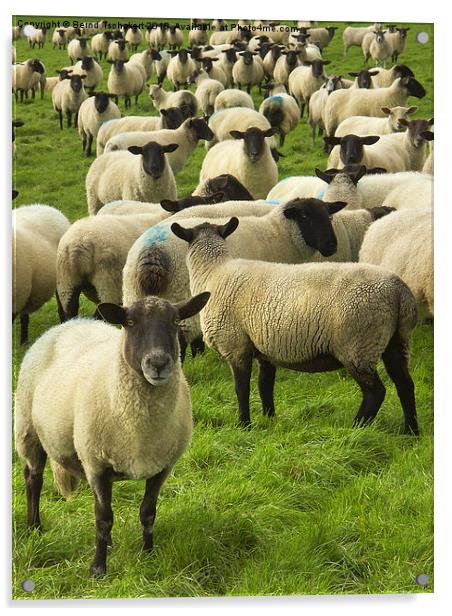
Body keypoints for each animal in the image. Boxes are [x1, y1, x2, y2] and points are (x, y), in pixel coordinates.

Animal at [15, 292, 209, 576]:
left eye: (175, 321)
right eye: (129, 322)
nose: (158, 363)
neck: (141, 430)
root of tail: (71, 322)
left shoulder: (162, 466)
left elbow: (147, 512)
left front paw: (147, 555)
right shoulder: (97, 465)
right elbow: (103, 518)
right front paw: (98, 569)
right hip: (29, 429)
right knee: (33, 478)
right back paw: (34, 528)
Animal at [171, 215, 418, 434]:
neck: (213, 272)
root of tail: (399, 291)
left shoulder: (235, 346)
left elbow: (241, 389)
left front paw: (244, 425)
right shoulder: (263, 348)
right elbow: (265, 385)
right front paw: (269, 419)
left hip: (357, 345)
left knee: (376, 392)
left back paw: (357, 426)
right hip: (393, 341)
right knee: (405, 384)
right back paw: (410, 432)